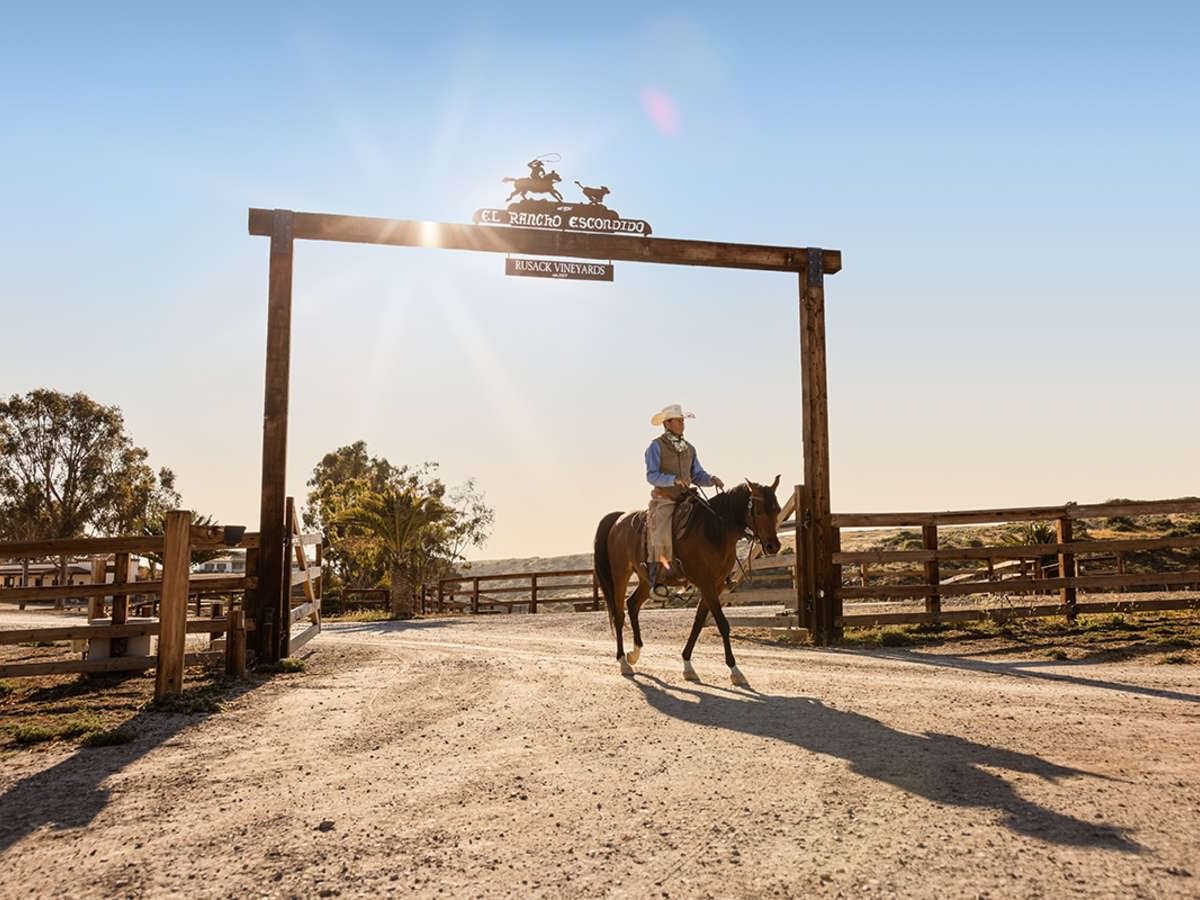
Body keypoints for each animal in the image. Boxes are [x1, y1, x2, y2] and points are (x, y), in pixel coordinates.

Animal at [592, 482, 787, 686]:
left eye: (777, 509)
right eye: (758, 511)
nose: (773, 546)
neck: (713, 531)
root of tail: (619, 519)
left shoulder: (716, 585)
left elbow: (698, 622)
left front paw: (687, 665)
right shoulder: (706, 583)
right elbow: (722, 624)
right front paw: (735, 671)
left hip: (646, 580)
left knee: (632, 604)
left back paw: (634, 654)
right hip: (620, 574)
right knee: (619, 613)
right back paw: (623, 661)